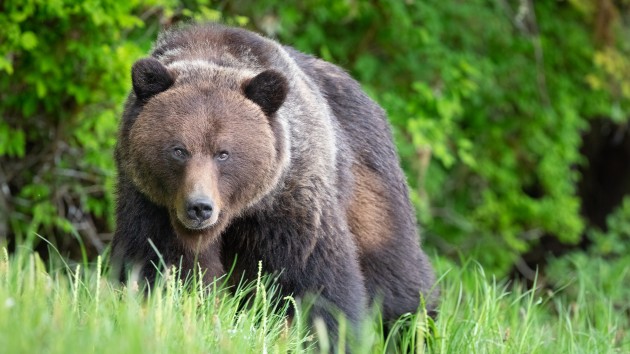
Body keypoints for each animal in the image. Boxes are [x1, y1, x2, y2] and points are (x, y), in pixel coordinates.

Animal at [112, 22, 440, 334]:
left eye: (223, 153)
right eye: (179, 150)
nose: (200, 207)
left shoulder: (290, 197)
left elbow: (315, 278)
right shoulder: (151, 203)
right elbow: (160, 265)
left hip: (369, 182)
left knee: (394, 270)